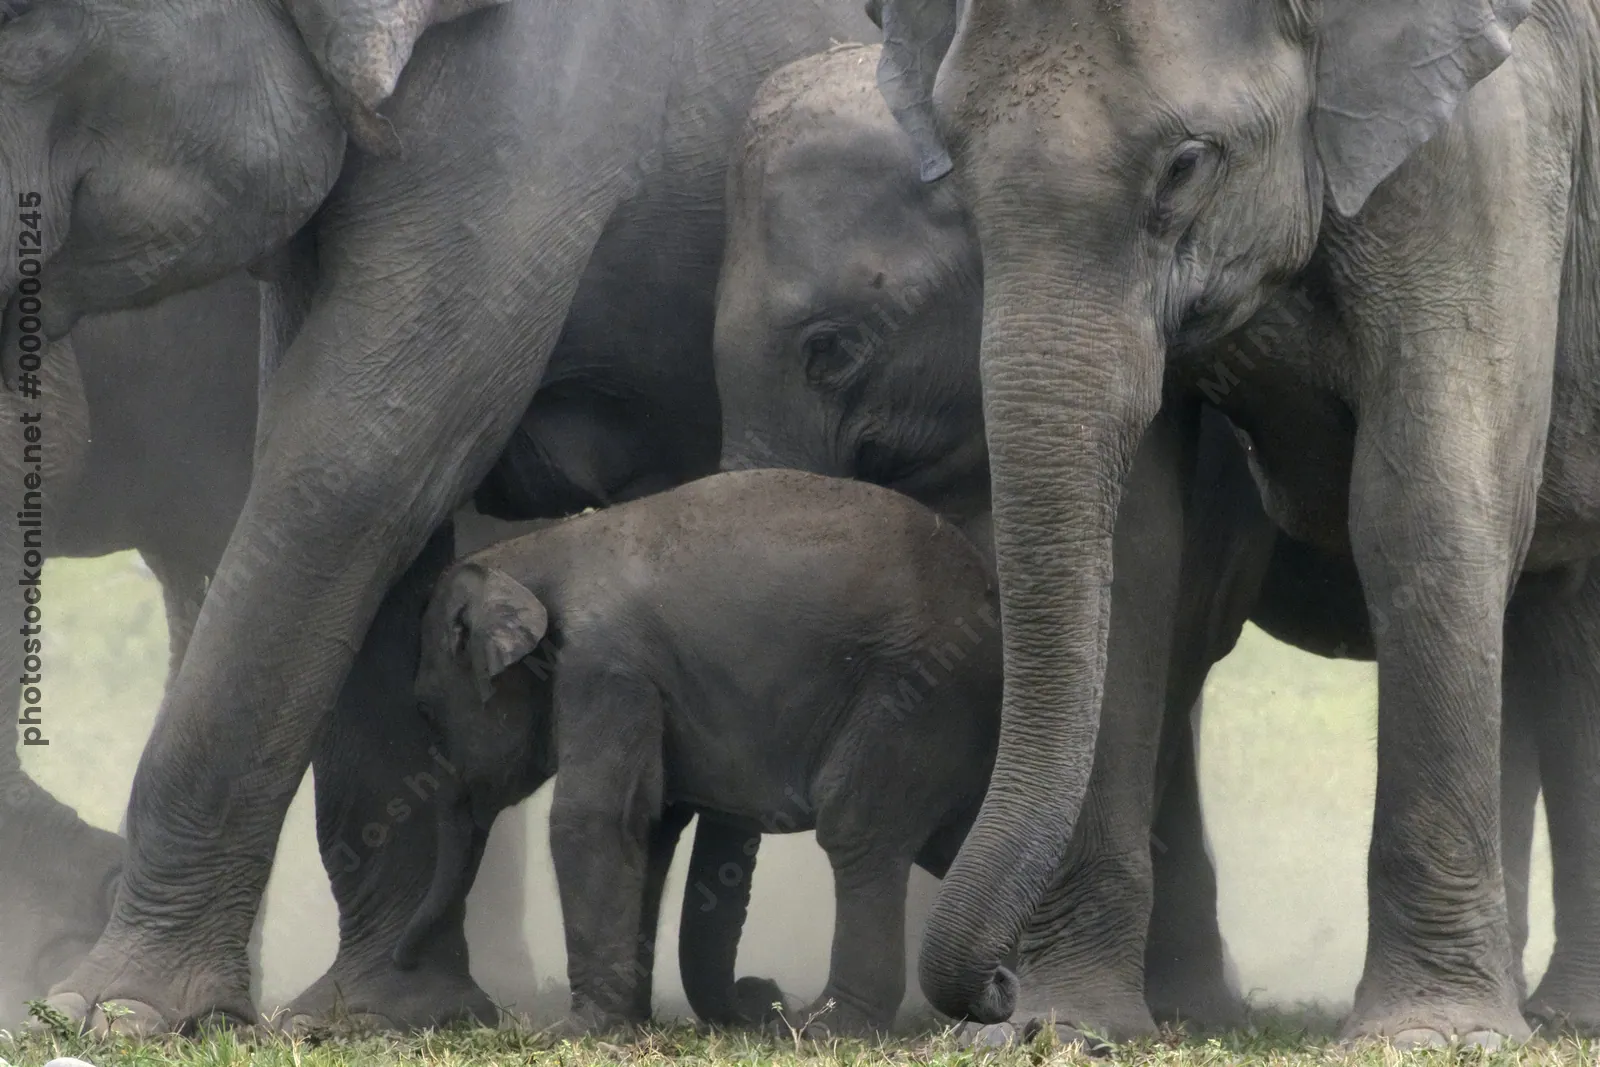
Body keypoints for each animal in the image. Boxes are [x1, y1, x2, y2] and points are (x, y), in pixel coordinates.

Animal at [1, 0, 883, 1034]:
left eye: (24, 27)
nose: (764, 997)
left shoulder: (539, 102)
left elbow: (352, 462)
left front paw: (112, 1011)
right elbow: (374, 502)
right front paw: (376, 1010)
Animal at [398, 468, 1002, 1038]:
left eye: (425, 709)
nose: (405, 960)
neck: (530, 551)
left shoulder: (602, 667)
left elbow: (591, 821)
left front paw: (574, 1032)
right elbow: (650, 830)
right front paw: (627, 1023)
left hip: (913, 696)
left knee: (860, 832)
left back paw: (827, 1030)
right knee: (947, 835)